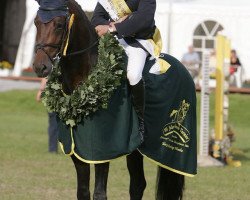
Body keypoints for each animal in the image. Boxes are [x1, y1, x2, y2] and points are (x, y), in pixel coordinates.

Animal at [31, 0, 191, 199]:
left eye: (59, 25)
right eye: (36, 23)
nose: (40, 67)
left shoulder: (102, 149)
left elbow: (100, 193)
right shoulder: (77, 150)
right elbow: (83, 191)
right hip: (135, 150)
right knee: (138, 184)